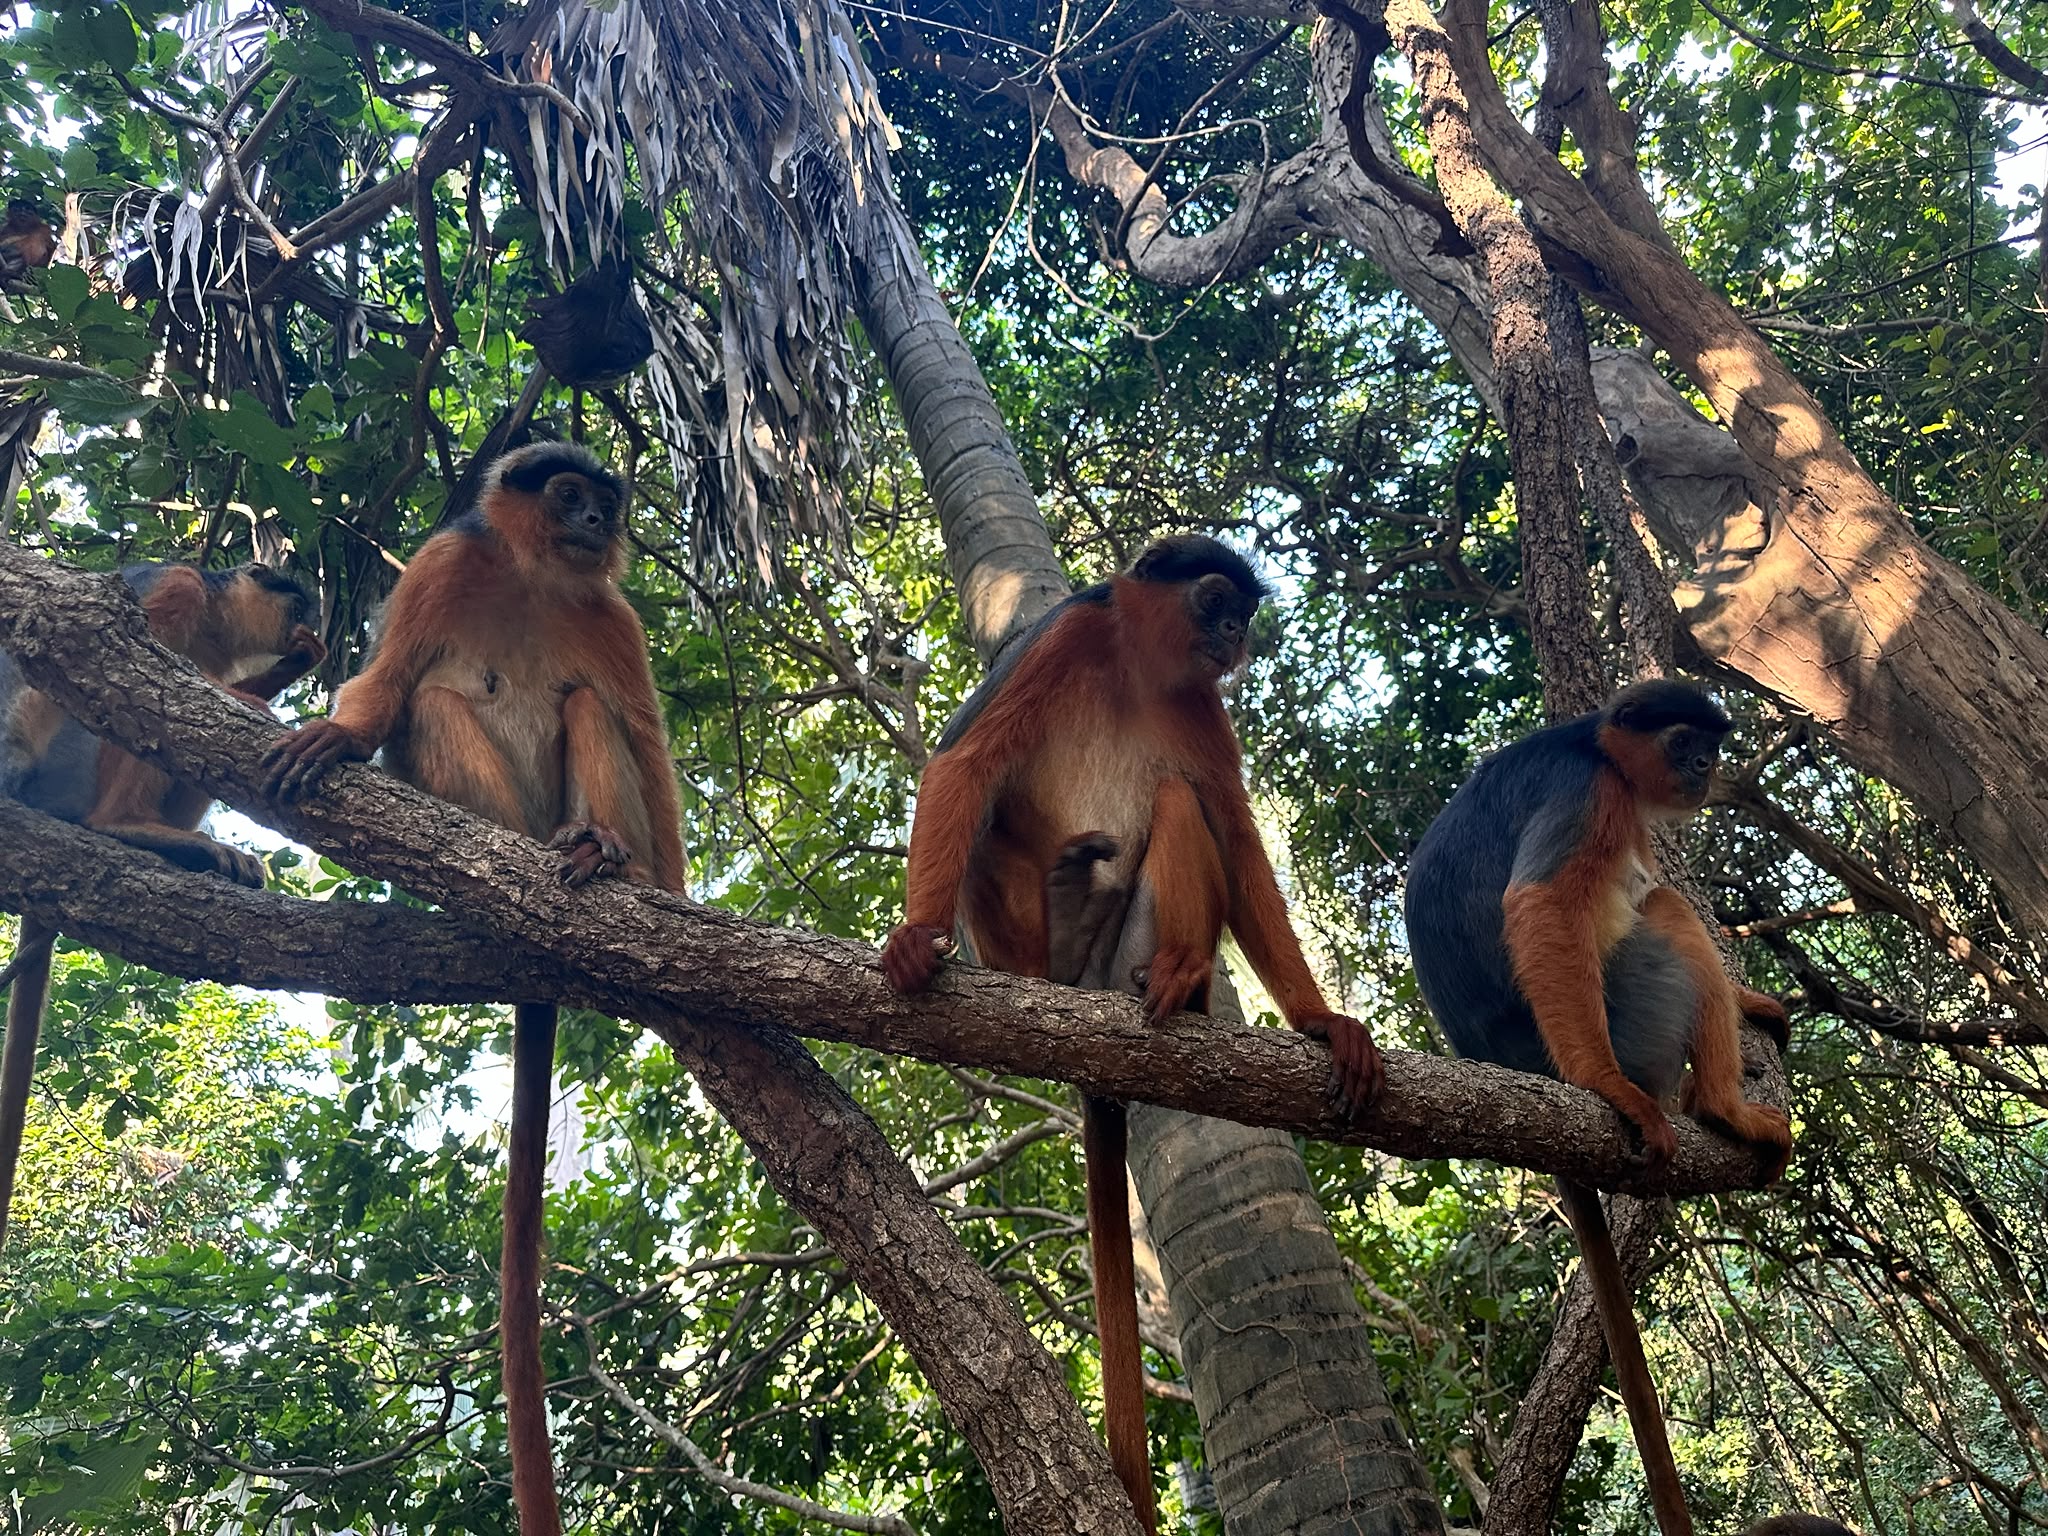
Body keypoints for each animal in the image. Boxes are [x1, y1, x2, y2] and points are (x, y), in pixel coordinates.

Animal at [0, 561, 323, 1250]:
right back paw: (128, 827)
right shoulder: (177, 585)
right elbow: (124, 670)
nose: (305, 624)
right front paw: (259, 697)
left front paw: (291, 668)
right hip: (61, 761)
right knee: (132, 713)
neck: (214, 617)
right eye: (295, 603)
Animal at [261, 441, 685, 1536]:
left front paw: (672, 894)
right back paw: (497, 883)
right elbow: (390, 682)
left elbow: (638, 730)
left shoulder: (612, 614)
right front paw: (339, 733)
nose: (596, 518)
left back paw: (601, 856)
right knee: (435, 701)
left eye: (603, 499)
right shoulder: (444, 564)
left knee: (586, 706)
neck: (534, 578)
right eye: (570, 495)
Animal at [881, 535, 1383, 1533]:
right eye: (1216, 600)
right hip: (1029, 948)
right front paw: (918, 937)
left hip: (1130, 957)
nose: (1233, 634)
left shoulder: (1200, 706)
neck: (1133, 673)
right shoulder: (1065, 632)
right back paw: (1060, 926)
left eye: (1242, 613)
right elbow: (962, 762)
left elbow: (1233, 833)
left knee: (1178, 800)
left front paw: (1318, 1020)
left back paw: (1179, 974)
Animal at [1404, 679, 1794, 1536]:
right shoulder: (1590, 792)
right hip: (1634, 1011)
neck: (1590, 744)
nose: (1706, 767)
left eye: (1711, 745)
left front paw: (1752, 999)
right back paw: (1717, 1105)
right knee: (1667, 912)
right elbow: (1542, 902)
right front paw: (1611, 1089)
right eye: (1686, 742)